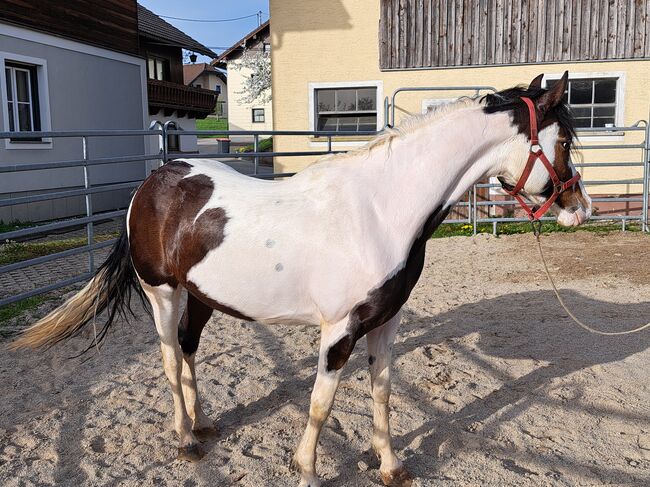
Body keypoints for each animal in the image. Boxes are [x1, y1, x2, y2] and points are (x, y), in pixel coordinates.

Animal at [11, 72, 588, 487]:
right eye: (564, 143)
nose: (578, 210)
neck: (381, 209)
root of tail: (154, 180)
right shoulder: (339, 330)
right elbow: (320, 403)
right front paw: (307, 470)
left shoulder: (386, 324)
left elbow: (382, 393)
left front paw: (390, 468)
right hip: (164, 294)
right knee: (171, 360)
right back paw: (185, 439)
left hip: (202, 297)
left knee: (190, 349)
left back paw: (203, 423)